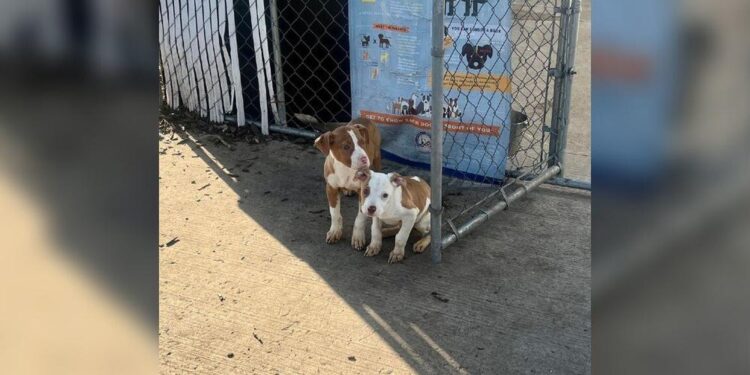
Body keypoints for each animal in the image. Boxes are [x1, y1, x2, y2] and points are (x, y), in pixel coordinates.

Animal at [314, 117, 382, 247]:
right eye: (346, 147)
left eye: (362, 143)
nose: (364, 159)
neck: (346, 169)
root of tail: (364, 118)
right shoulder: (331, 188)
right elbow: (334, 213)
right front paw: (335, 231)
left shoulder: (362, 192)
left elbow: (360, 217)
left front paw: (358, 237)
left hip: (377, 156)